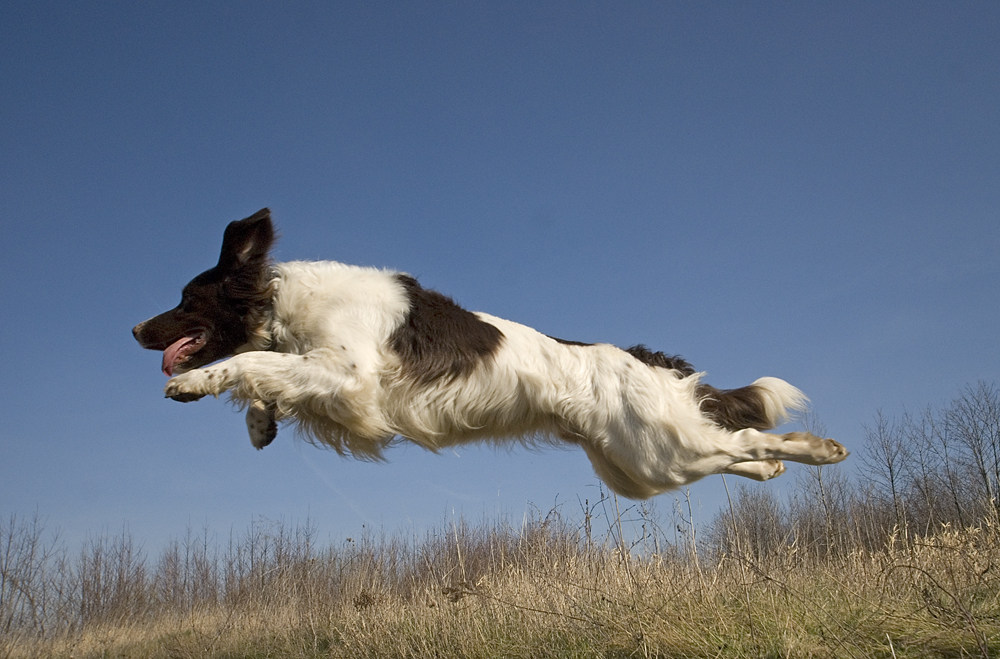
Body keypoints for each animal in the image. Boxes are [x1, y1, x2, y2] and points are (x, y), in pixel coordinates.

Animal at [133, 209, 848, 498]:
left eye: (186, 298)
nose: (136, 329)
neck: (282, 298)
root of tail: (645, 359)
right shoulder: (330, 381)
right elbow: (265, 374)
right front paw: (260, 424)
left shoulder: (352, 379)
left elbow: (250, 364)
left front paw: (192, 386)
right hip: (641, 466)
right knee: (736, 448)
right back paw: (777, 468)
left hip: (653, 451)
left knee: (745, 439)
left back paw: (819, 449)